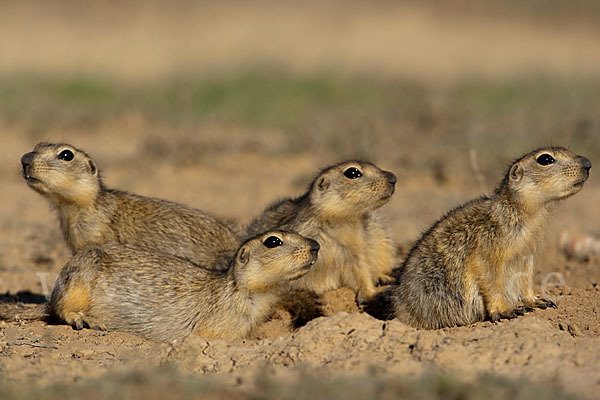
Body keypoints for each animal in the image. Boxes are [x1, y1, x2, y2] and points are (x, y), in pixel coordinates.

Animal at [241, 161, 396, 304]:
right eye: (352, 172)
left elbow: (362, 270)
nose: (393, 178)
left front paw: (369, 294)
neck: (339, 223)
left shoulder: (357, 247)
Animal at [380, 147, 592, 328]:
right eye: (545, 159)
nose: (588, 162)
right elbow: (490, 279)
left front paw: (536, 300)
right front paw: (506, 310)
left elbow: (526, 278)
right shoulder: (488, 244)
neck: (518, 213)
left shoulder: (526, 253)